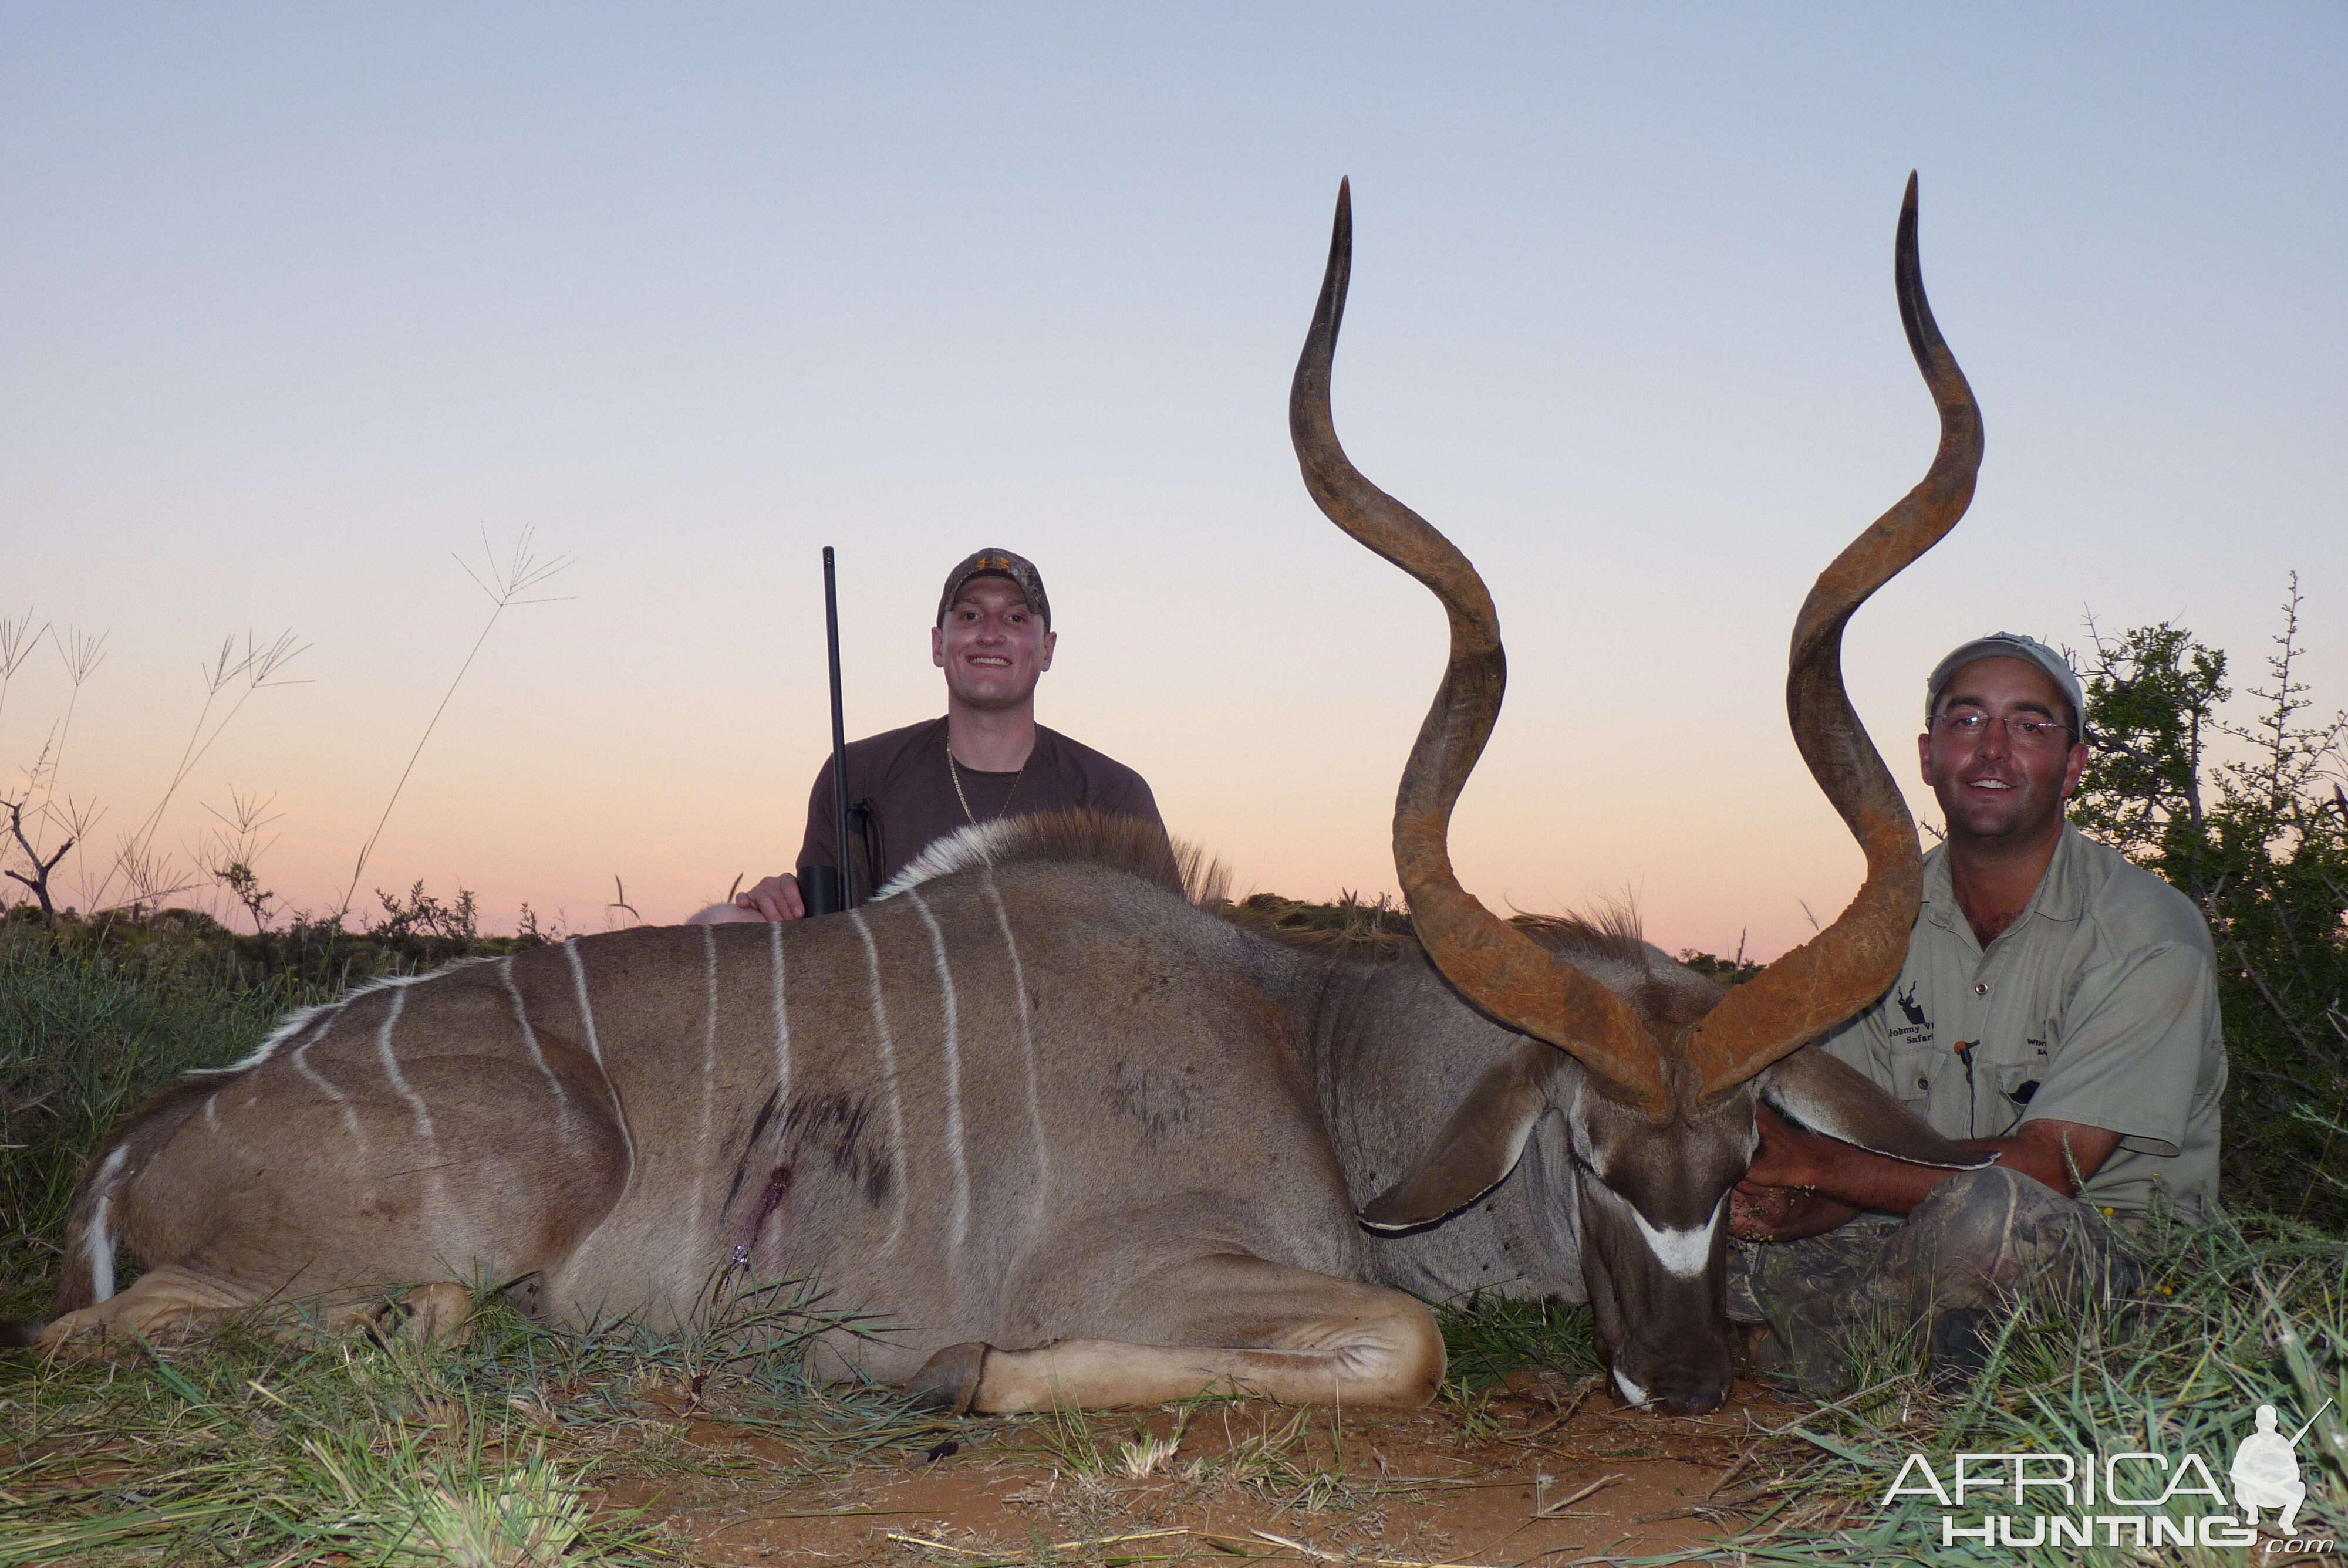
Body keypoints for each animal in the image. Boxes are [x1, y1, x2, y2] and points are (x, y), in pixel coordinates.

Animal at [28, 177, 1991, 1418]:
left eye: (1747, 1155)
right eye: (1586, 1149)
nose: (1684, 1380)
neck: (1309, 1051)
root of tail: (148, 1137)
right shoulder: (1143, 1274)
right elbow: (1394, 1347)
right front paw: (932, 1367)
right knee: (129, 1331)